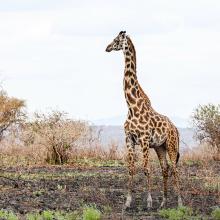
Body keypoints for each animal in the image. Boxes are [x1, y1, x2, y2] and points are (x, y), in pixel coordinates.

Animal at [105, 31, 183, 210]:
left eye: (116, 39)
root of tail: (175, 128)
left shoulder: (144, 139)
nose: (107, 47)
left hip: (171, 145)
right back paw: (163, 202)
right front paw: (127, 203)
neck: (131, 106)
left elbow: (146, 169)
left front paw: (148, 202)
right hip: (160, 147)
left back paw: (180, 202)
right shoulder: (129, 139)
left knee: (175, 168)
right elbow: (131, 168)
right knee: (165, 168)